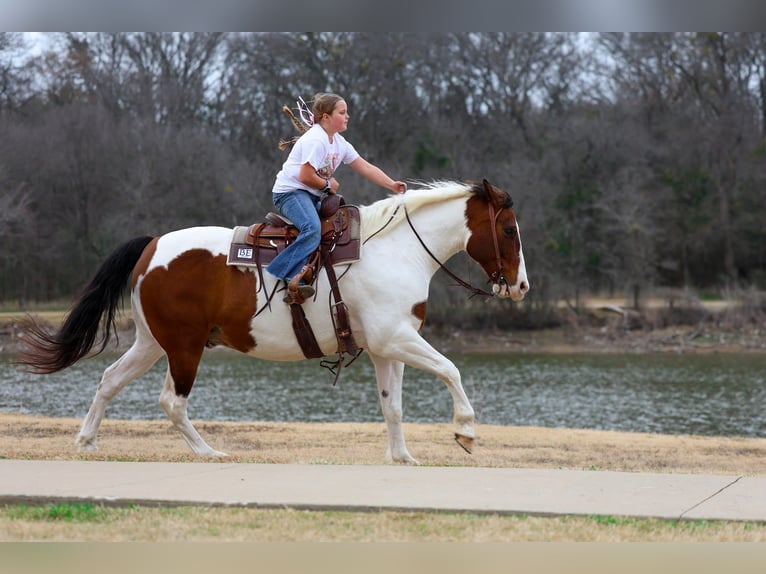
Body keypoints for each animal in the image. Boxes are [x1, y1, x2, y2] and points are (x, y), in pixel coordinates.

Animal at [17, 179, 529, 463]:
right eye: (508, 229)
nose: (521, 286)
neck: (397, 249)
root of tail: (154, 245)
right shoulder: (397, 339)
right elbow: (451, 369)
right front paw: (465, 431)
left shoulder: (388, 348)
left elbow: (393, 406)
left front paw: (403, 457)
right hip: (183, 347)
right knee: (172, 401)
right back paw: (208, 452)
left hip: (151, 343)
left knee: (109, 379)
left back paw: (87, 441)